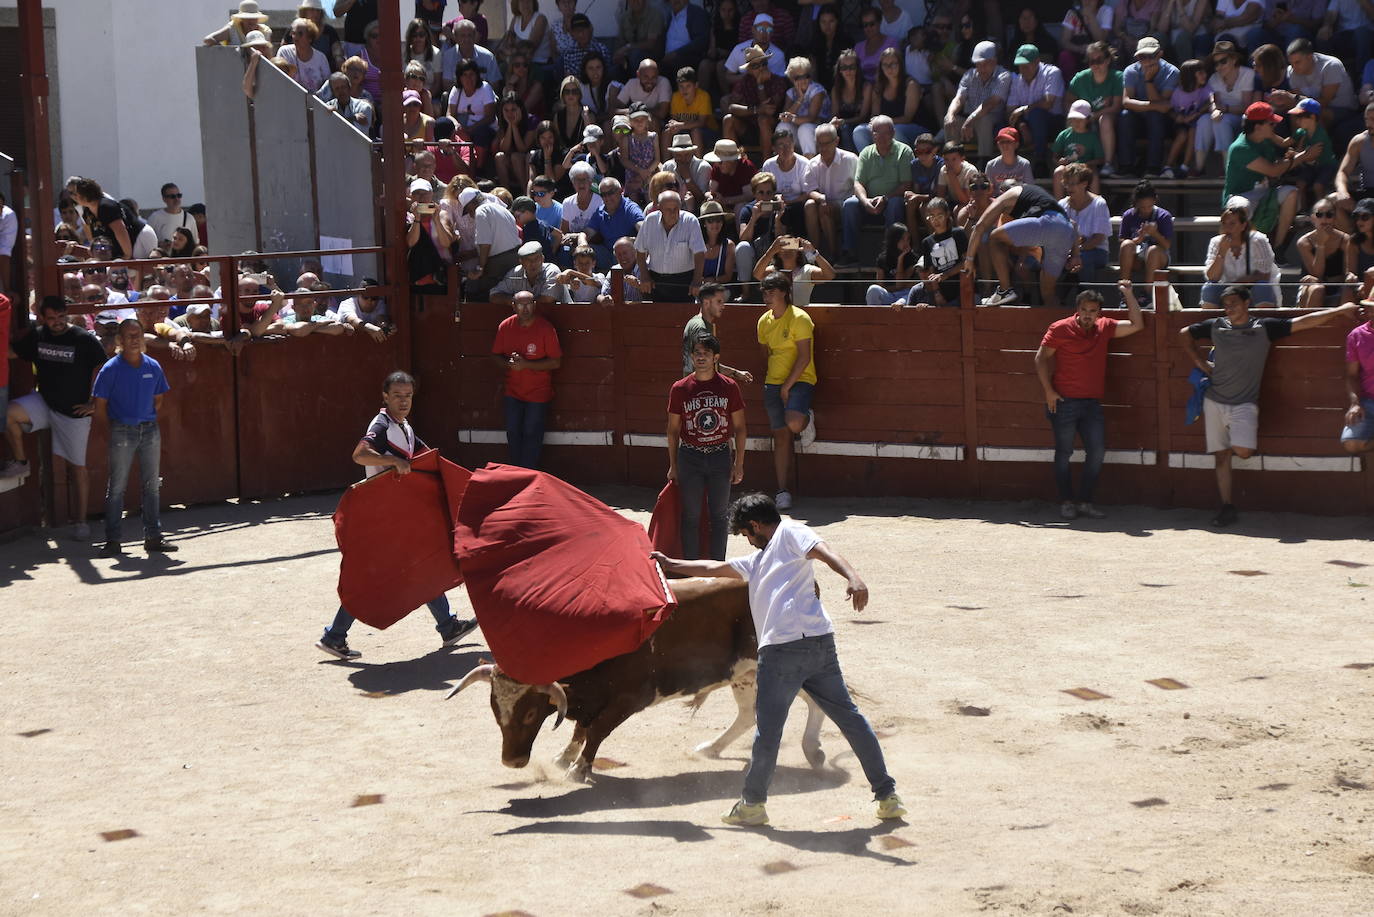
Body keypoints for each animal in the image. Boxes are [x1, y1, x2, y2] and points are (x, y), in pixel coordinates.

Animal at [445, 574, 818, 780]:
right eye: (496, 711)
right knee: (747, 714)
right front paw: (565, 757)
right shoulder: (592, 698)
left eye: (531, 713)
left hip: (771, 665)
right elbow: (581, 730)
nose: (512, 761)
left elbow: (596, 731)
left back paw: (813, 749)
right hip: (744, 673)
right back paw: (711, 748)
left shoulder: (626, 700)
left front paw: (578, 769)